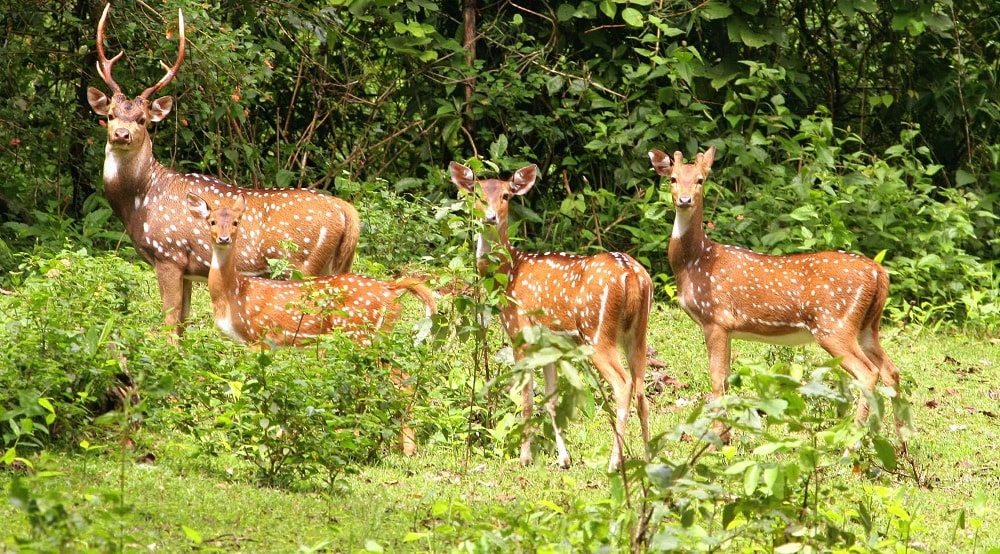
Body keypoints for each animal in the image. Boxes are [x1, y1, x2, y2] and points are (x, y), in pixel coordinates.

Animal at [86, 4, 360, 336]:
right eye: (111, 114)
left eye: (143, 120)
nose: (121, 135)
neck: (140, 201)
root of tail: (347, 212)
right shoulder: (188, 270)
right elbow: (183, 324)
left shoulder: (168, 254)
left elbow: (169, 325)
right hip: (338, 264)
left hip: (302, 264)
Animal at [188, 193, 438, 452]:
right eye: (212, 221)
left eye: (236, 222)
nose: (224, 238)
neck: (234, 293)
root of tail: (391, 289)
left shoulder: (259, 335)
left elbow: (256, 386)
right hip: (377, 337)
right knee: (400, 377)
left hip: (360, 336)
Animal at [452, 161, 656, 470]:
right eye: (476, 193)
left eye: (506, 196)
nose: (490, 217)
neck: (508, 274)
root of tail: (633, 275)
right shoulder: (549, 346)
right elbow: (551, 400)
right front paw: (563, 459)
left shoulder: (520, 333)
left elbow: (525, 398)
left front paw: (524, 457)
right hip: (638, 332)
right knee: (642, 390)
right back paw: (648, 458)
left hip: (597, 333)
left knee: (624, 385)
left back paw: (614, 462)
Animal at [648, 146, 908, 444]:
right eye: (673, 179)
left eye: (700, 180)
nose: (685, 199)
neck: (695, 262)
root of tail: (879, 272)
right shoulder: (727, 327)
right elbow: (725, 377)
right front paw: (727, 437)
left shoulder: (715, 318)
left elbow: (716, 377)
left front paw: (718, 440)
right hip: (867, 326)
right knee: (891, 370)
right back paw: (902, 442)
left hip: (834, 324)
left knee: (868, 373)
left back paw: (850, 442)